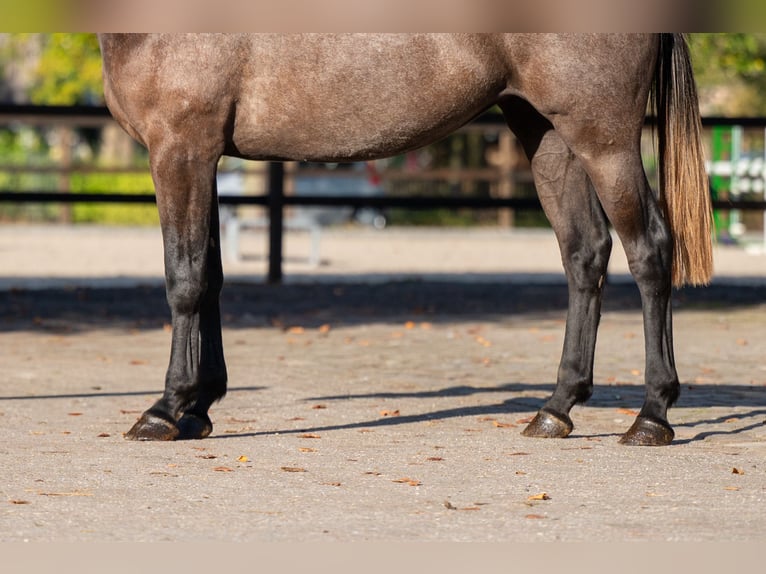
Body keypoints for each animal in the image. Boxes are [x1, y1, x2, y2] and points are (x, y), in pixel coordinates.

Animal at [98, 33, 712, 446]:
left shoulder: (181, 149)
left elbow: (185, 279)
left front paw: (165, 409)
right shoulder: (202, 158)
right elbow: (213, 279)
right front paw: (198, 408)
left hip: (604, 141)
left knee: (650, 251)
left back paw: (651, 417)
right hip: (548, 135)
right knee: (585, 254)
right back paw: (555, 409)